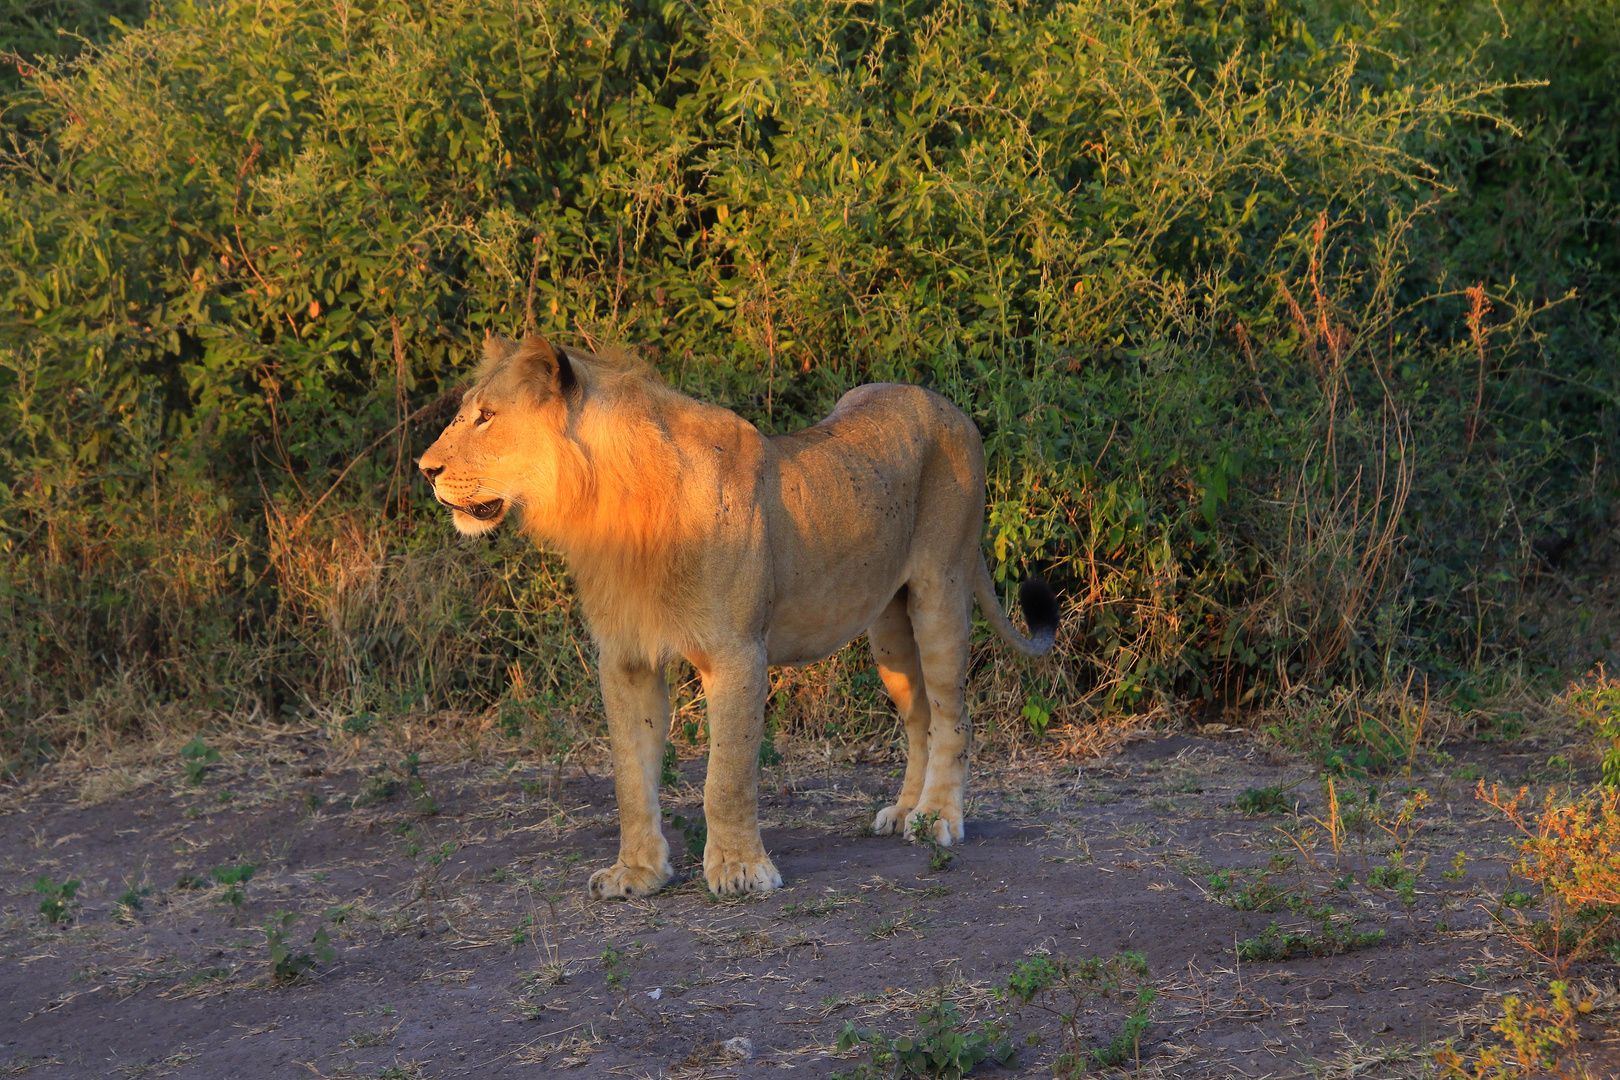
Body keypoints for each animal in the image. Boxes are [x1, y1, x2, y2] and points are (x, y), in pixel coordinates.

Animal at [411, 333, 1056, 900]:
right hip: (888, 629)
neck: (609, 503)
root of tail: (950, 407)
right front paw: (636, 874)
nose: (424, 469)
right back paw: (904, 811)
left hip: (939, 588)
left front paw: (741, 871)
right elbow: (629, 777)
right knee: (919, 714)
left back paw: (937, 817)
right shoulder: (625, 659)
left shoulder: (738, 652)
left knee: (954, 716)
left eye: (487, 416)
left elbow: (726, 774)